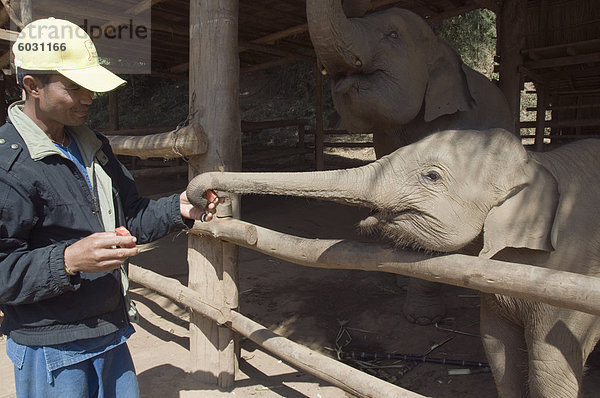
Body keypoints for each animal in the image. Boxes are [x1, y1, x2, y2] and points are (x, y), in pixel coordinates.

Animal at [189, 129, 600, 396]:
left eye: (431, 176)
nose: (204, 197)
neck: (538, 162)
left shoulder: (574, 268)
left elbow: (548, 364)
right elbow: (497, 349)